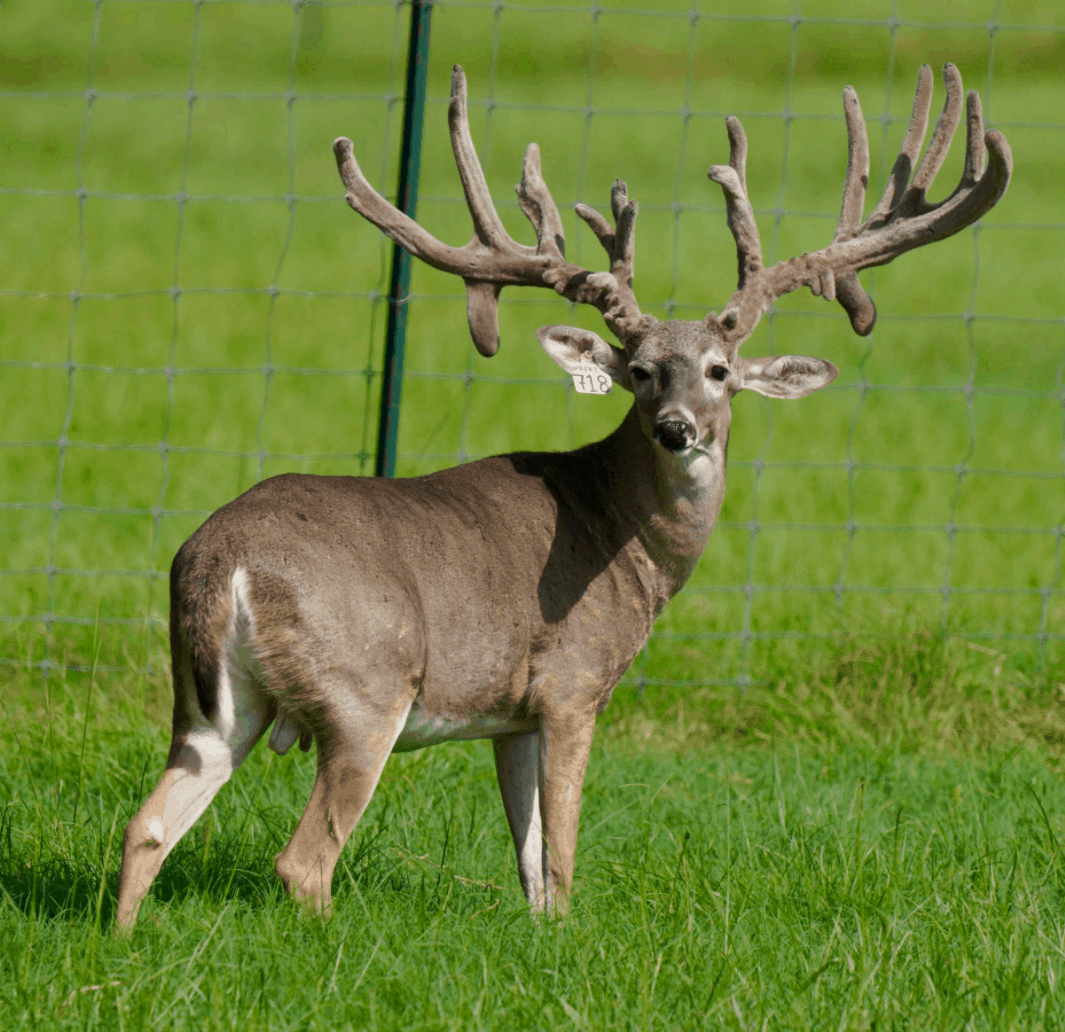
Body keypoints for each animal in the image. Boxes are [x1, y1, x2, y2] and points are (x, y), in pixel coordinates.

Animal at [115, 63, 1011, 929]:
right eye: (640, 371)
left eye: (718, 370)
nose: (678, 429)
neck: (623, 535)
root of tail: (217, 555)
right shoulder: (574, 682)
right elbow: (564, 851)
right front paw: (572, 936)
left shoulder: (511, 713)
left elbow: (529, 860)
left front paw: (542, 937)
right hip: (365, 687)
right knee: (302, 862)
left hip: (214, 706)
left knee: (147, 823)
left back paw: (123, 939)